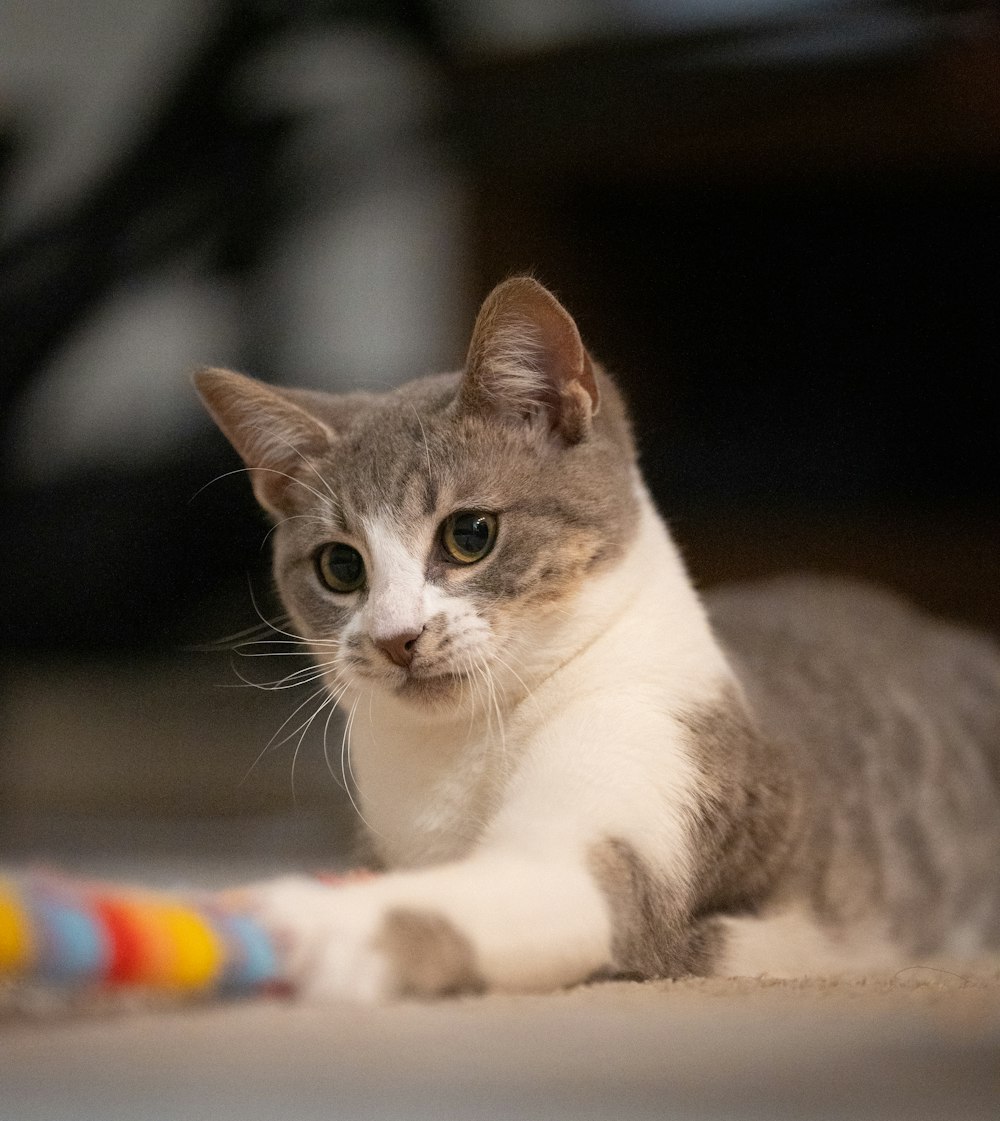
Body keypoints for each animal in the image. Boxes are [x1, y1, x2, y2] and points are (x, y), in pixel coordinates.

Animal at [195, 275, 1000, 1004]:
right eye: (340, 567)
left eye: (469, 535)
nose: (398, 637)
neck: (464, 750)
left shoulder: (653, 768)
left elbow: (507, 890)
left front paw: (304, 920)